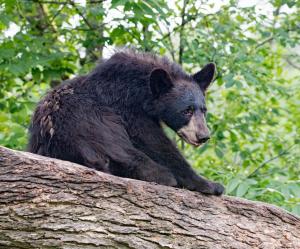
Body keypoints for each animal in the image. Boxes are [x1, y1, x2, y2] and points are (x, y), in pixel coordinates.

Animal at [28, 49, 224, 196]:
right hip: (95, 126)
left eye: (204, 110)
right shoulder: (127, 107)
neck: (141, 89)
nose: (203, 136)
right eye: (186, 111)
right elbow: (154, 141)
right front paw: (209, 184)